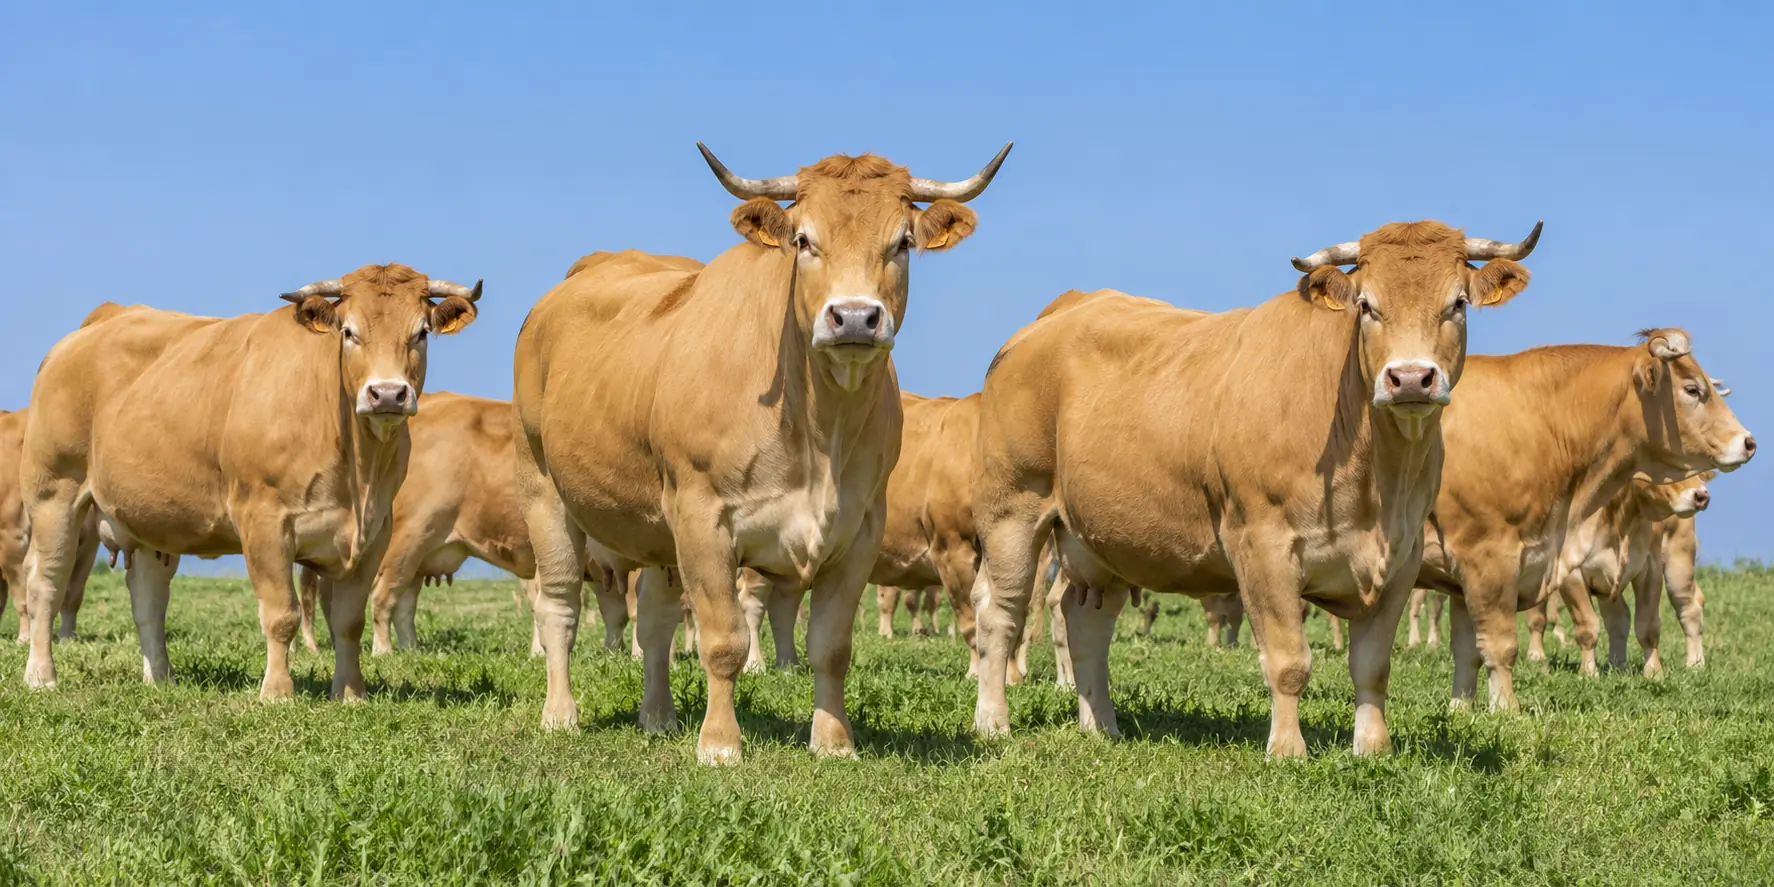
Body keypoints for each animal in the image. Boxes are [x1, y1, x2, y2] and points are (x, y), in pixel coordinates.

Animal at [19, 265, 481, 697]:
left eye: (421, 333)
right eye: (349, 332)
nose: (386, 394)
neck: (356, 469)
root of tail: (101, 321)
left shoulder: (375, 531)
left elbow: (348, 621)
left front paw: (351, 693)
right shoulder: (264, 520)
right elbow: (281, 614)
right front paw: (277, 691)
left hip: (151, 516)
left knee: (148, 596)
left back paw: (161, 678)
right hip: (53, 493)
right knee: (45, 582)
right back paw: (41, 675)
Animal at [512, 143, 1009, 764]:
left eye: (902, 242)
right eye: (803, 239)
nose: (854, 317)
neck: (818, 429)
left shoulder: (860, 529)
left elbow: (831, 646)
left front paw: (833, 741)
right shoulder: (702, 516)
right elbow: (723, 640)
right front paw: (720, 744)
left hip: (656, 525)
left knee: (654, 620)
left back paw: (658, 716)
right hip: (544, 491)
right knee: (557, 605)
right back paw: (561, 714)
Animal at [971, 222, 1543, 758]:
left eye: (1458, 303)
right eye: (1366, 306)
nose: (1408, 379)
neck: (1376, 479)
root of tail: (1055, 315)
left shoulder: (1401, 558)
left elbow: (1373, 666)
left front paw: (1373, 748)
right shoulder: (1262, 544)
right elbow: (1288, 662)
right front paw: (1288, 750)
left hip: (1100, 537)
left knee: (1086, 619)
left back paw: (1101, 727)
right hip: (1012, 511)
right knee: (1000, 613)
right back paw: (993, 722)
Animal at [1523, 473, 1712, 676]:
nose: (1701, 495)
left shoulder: (1650, 567)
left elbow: (1648, 625)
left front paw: (1654, 673)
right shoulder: (1570, 573)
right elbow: (1587, 625)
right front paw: (1588, 672)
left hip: (1679, 557)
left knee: (1689, 605)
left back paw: (1695, 665)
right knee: (1617, 617)